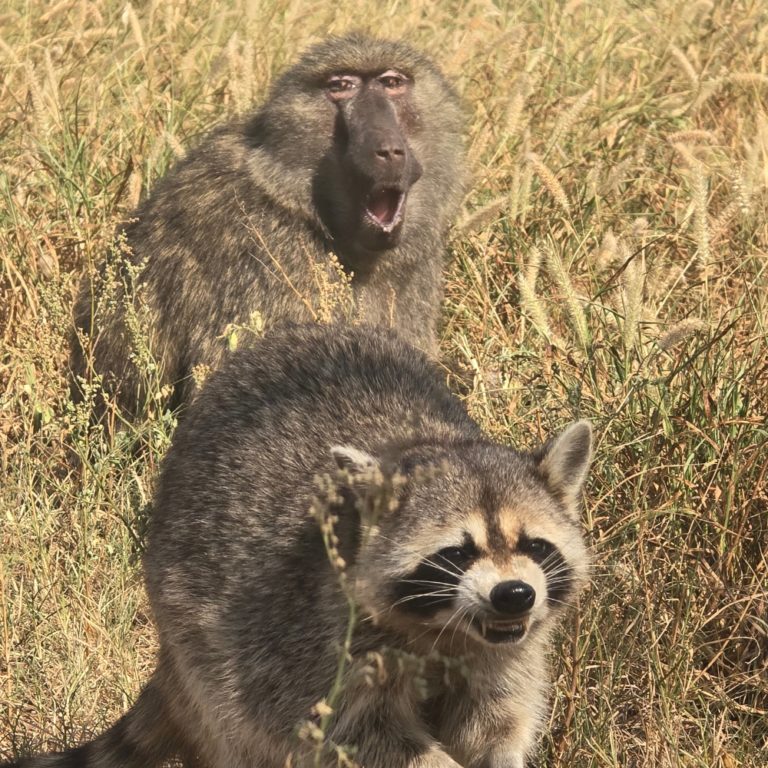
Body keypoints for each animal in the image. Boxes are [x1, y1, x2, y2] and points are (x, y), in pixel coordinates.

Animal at [5, 325, 592, 768]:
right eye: (457, 553)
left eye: (534, 546)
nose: (514, 595)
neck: (447, 631)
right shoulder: (316, 642)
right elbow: (361, 736)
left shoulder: (508, 655)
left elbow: (494, 727)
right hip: (198, 643)